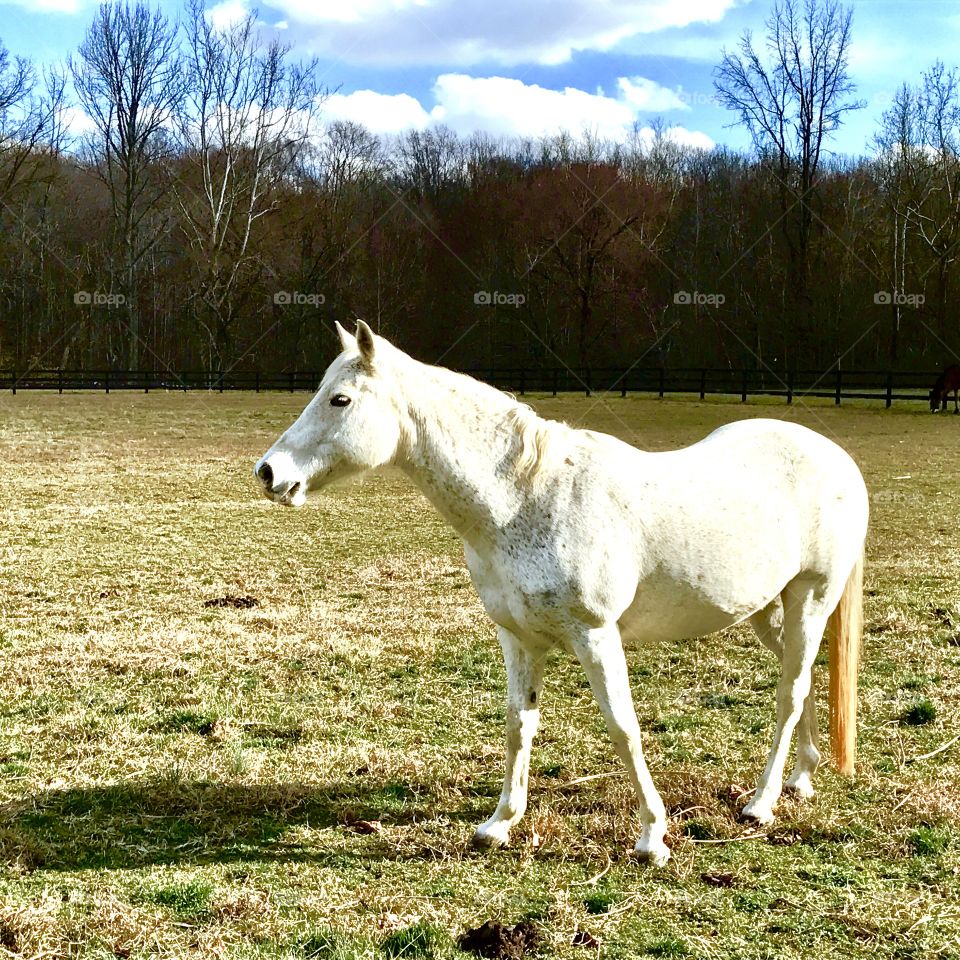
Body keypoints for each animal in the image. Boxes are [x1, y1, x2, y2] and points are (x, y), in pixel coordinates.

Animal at [255, 322, 872, 872]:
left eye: (340, 399)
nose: (268, 472)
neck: (525, 498)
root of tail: (836, 457)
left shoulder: (594, 635)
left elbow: (623, 726)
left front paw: (653, 838)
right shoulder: (519, 637)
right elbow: (518, 724)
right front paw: (499, 824)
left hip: (810, 598)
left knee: (790, 693)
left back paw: (761, 804)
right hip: (769, 611)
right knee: (802, 679)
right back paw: (801, 778)